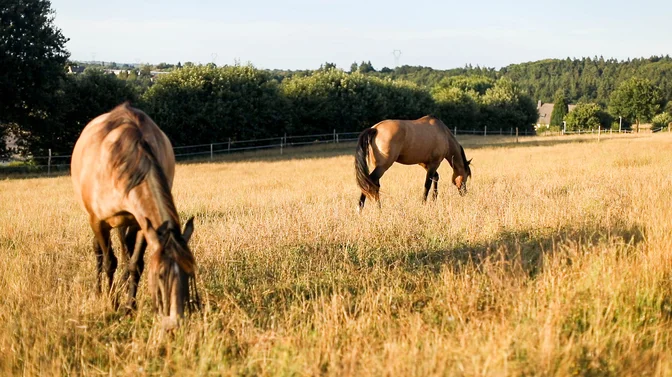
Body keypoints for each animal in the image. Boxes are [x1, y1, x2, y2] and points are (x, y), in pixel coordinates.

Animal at [73, 101, 201, 328]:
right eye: (160, 276)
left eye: (189, 273)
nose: (174, 321)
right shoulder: (98, 222)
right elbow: (109, 261)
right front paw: (112, 303)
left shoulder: (142, 223)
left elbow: (135, 264)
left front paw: (129, 307)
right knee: (100, 252)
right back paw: (100, 290)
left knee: (126, 249)